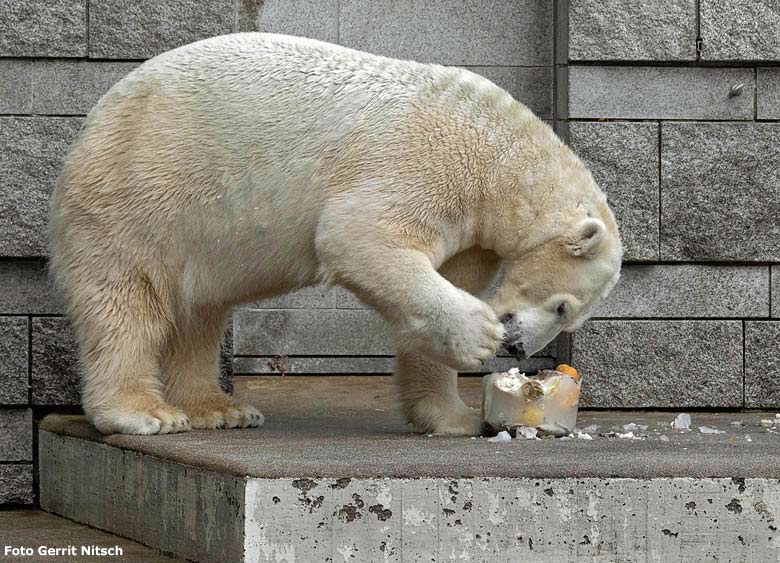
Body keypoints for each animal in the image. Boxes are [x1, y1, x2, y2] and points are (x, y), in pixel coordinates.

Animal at [48, 33, 620, 436]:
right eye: (564, 306)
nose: (519, 348)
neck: (496, 156)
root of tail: (94, 118)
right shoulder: (423, 163)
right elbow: (358, 236)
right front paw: (478, 338)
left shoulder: (470, 227)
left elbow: (434, 292)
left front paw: (453, 416)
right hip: (144, 192)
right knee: (125, 300)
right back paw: (145, 413)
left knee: (198, 314)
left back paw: (219, 408)